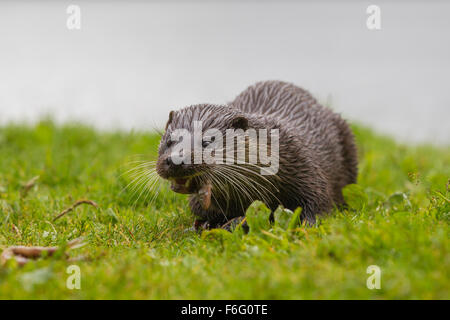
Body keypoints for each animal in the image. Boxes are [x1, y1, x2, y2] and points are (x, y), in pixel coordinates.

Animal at [156, 81, 356, 229]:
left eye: (207, 142)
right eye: (169, 141)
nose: (175, 160)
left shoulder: (304, 167)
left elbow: (318, 202)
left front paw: (307, 226)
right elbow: (201, 210)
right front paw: (206, 224)